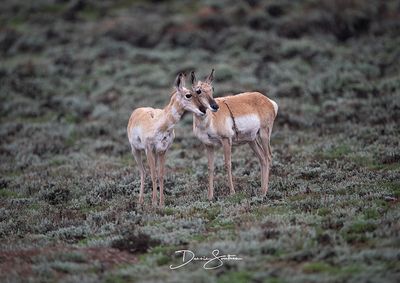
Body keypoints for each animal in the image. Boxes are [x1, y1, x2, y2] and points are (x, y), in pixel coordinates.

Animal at [127, 73, 216, 206]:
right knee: (143, 172)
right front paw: (154, 202)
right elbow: (153, 175)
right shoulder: (148, 149)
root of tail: (137, 111)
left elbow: (161, 175)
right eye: (189, 95)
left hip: (153, 153)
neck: (160, 123)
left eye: (197, 93)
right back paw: (140, 201)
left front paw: (161, 202)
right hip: (135, 150)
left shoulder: (162, 151)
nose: (203, 110)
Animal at [191, 70, 278, 201]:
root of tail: (267, 100)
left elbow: (228, 164)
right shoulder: (209, 145)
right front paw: (210, 196)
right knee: (262, 158)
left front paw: (232, 193)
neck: (210, 120)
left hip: (264, 134)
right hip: (252, 140)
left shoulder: (226, 140)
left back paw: (264, 192)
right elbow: (210, 168)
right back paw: (261, 190)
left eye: (212, 88)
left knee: (268, 157)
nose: (215, 106)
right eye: (198, 91)